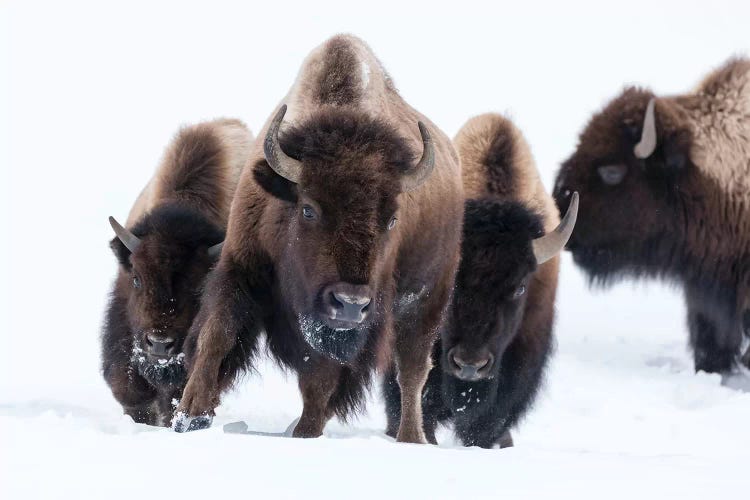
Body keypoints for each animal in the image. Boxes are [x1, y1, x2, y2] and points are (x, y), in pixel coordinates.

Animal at [174, 33, 464, 444]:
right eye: (309, 209)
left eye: (392, 219)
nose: (350, 304)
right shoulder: (241, 265)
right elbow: (218, 333)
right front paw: (189, 415)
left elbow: (320, 376)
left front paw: (305, 434)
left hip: (426, 301)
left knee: (411, 370)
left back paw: (410, 437)